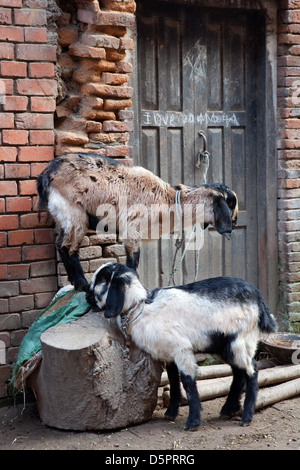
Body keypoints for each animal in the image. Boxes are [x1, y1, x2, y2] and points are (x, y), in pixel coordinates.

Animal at [37, 152, 239, 292]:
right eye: (231, 203)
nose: (235, 222)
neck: (169, 200)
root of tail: (45, 175)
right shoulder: (132, 229)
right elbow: (132, 261)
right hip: (74, 213)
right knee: (68, 248)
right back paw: (83, 285)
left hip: (65, 216)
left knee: (60, 245)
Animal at [86, 260, 276, 430]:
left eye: (103, 279)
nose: (87, 296)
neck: (143, 307)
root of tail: (259, 300)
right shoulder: (168, 353)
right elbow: (173, 380)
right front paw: (170, 413)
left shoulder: (182, 350)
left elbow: (188, 382)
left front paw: (193, 422)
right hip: (226, 346)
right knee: (238, 373)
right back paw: (228, 410)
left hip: (241, 341)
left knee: (252, 371)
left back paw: (246, 417)